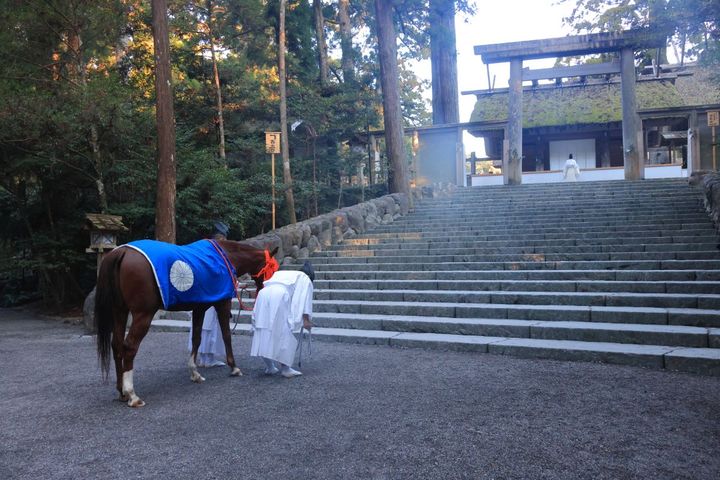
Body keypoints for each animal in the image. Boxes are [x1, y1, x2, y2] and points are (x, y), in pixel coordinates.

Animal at [94, 239, 279, 407]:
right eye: (273, 269)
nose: (265, 288)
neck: (225, 257)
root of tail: (122, 251)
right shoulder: (223, 303)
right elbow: (226, 335)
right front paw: (234, 367)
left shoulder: (199, 308)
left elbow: (196, 338)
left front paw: (195, 372)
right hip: (143, 314)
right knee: (130, 346)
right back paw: (132, 395)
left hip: (119, 311)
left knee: (117, 345)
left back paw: (121, 391)